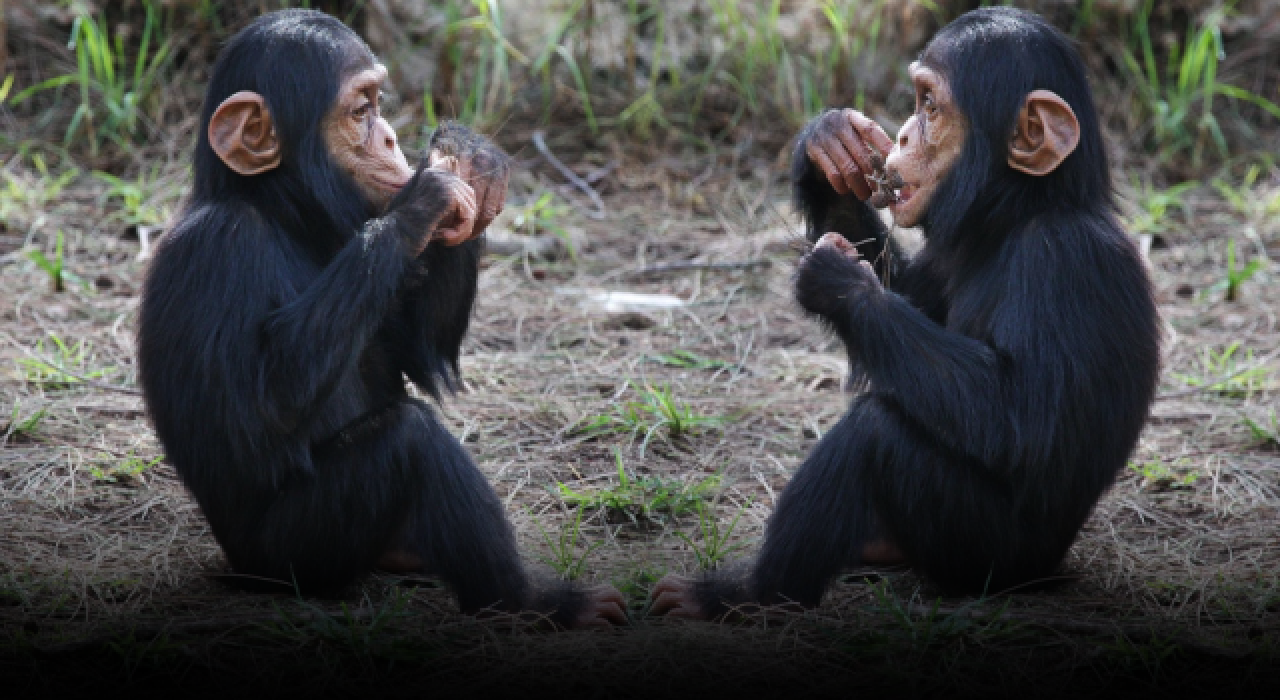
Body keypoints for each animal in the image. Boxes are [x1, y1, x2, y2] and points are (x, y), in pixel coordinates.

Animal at [135, 8, 624, 627]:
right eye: (360, 111)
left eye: (378, 102)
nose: (391, 137)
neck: (282, 214)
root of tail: (241, 567)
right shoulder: (216, 249)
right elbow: (259, 411)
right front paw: (423, 198)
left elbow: (420, 349)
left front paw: (472, 160)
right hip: (295, 555)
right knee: (412, 439)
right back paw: (533, 601)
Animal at [655, 6, 1167, 619]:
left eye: (930, 106)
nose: (900, 133)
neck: (1019, 213)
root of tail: (1046, 570)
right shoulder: (946, 255)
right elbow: (911, 295)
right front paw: (830, 143)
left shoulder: (1066, 260)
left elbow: (1021, 416)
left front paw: (841, 284)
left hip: (983, 555)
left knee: (873, 433)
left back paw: (746, 593)